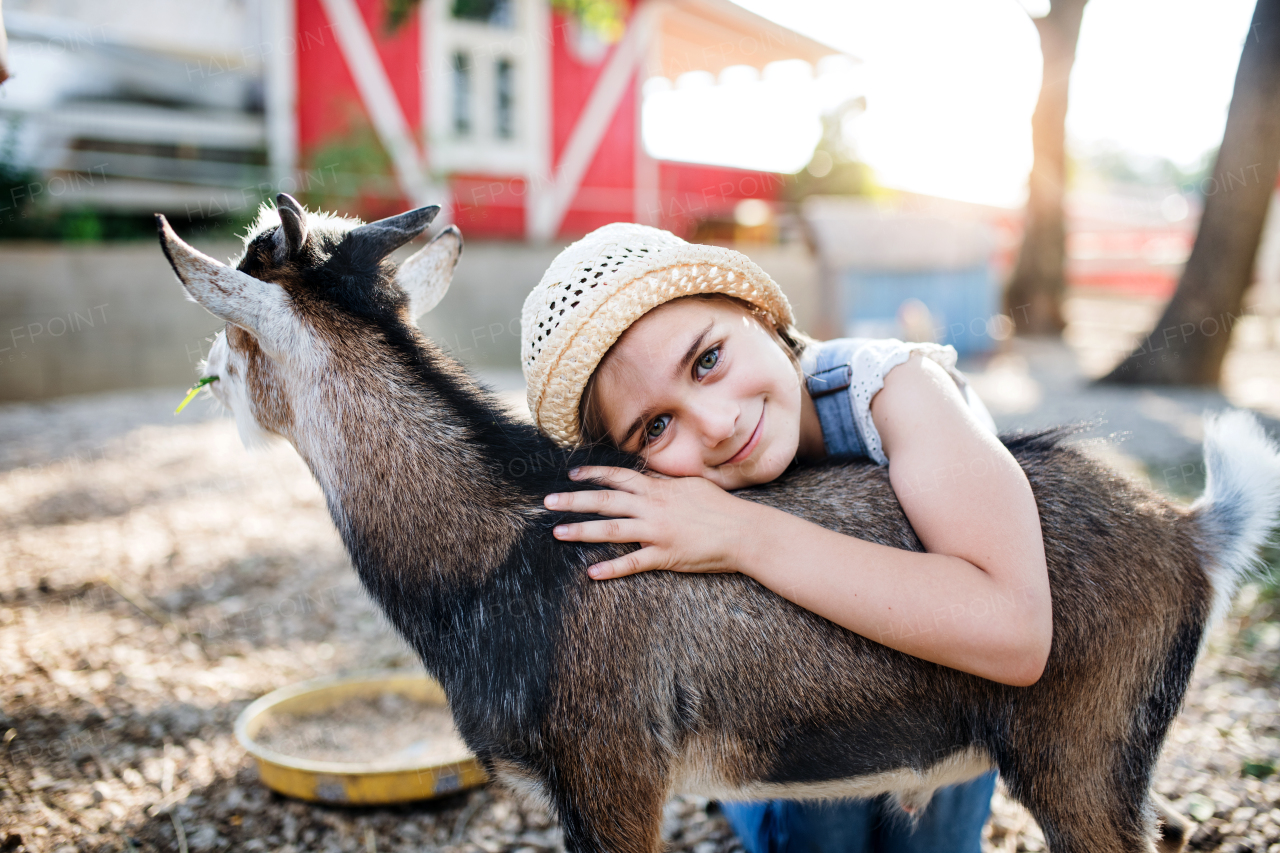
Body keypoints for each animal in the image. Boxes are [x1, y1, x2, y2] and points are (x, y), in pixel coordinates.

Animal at [157, 194, 1280, 850]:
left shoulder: (612, 766)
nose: (204, 377)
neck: (503, 546)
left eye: (230, 328)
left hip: (1082, 751)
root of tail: (1189, 529)